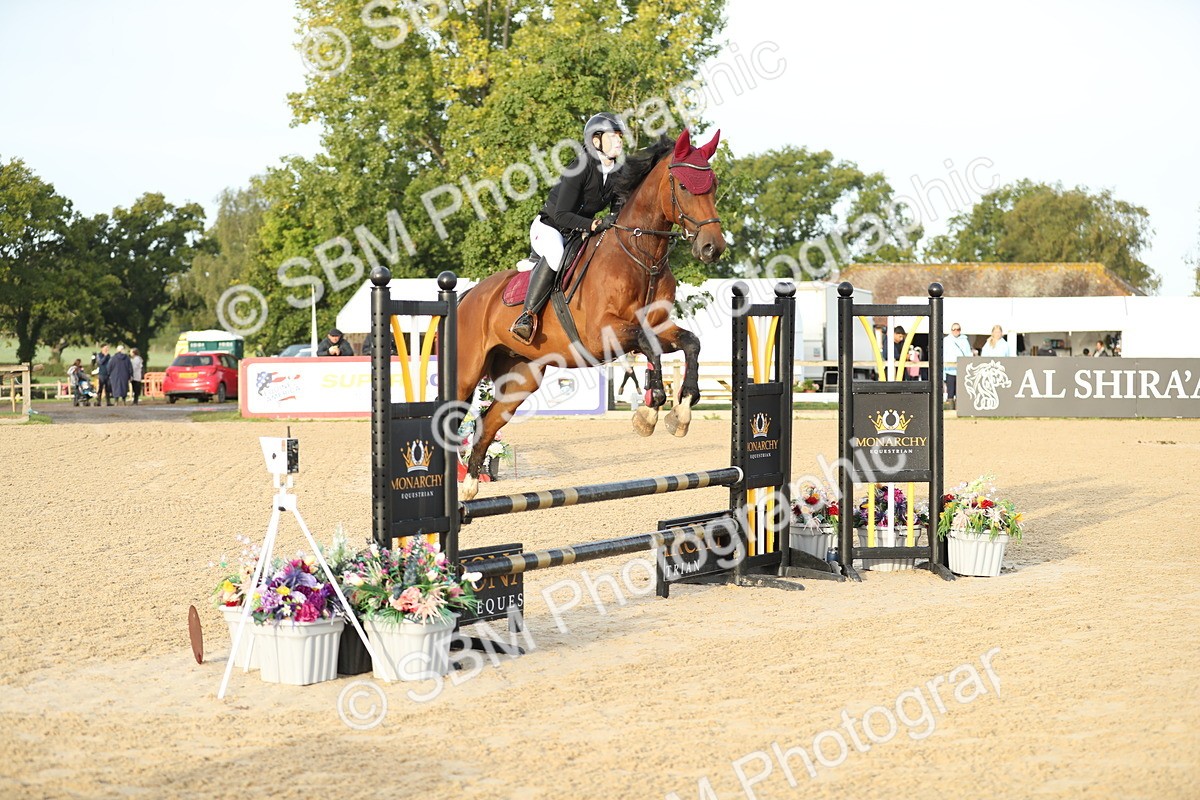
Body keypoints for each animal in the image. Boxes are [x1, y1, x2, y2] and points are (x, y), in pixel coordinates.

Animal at [454, 129, 726, 501]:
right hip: (466, 374)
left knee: (487, 422)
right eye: (683, 186)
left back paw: (469, 485)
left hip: (521, 377)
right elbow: (648, 346)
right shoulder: (602, 334)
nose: (713, 248)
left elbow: (690, 343)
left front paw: (680, 411)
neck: (642, 255)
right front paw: (651, 408)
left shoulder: (657, 325)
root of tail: (468, 295)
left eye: (713, 185)